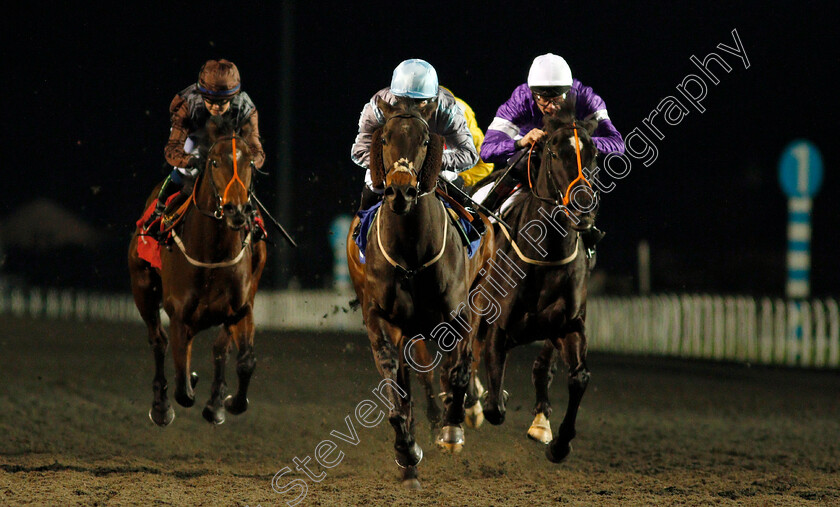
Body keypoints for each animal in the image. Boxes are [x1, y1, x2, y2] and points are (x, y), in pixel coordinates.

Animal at [129, 116, 266, 428]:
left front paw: (229, 402)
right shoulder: (180, 316)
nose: (236, 210)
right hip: (142, 287)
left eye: (250, 162)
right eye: (214, 162)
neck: (212, 252)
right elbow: (182, 387)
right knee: (158, 341)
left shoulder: (241, 308)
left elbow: (246, 361)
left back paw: (215, 403)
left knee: (219, 348)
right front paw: (183, 388)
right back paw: (161, 406)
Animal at [346, 98, 496, 488]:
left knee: (462, 359)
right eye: (383, 138)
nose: (400, 191)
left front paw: (452, 430)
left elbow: (459, 369)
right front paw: (407, 455)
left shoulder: (458, 315)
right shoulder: (382, 322)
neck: (411, 254)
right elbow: (396, 392)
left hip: (479, 292)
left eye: (426, 139)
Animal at [476, 111, 600, 464]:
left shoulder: (569, 324)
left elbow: (578, 376)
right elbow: (494, 406)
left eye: (594, 154)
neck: (546, 253)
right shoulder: (498, 326)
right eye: (554, 153)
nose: (583, 206)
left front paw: (559, 443)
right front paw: (484, 400)